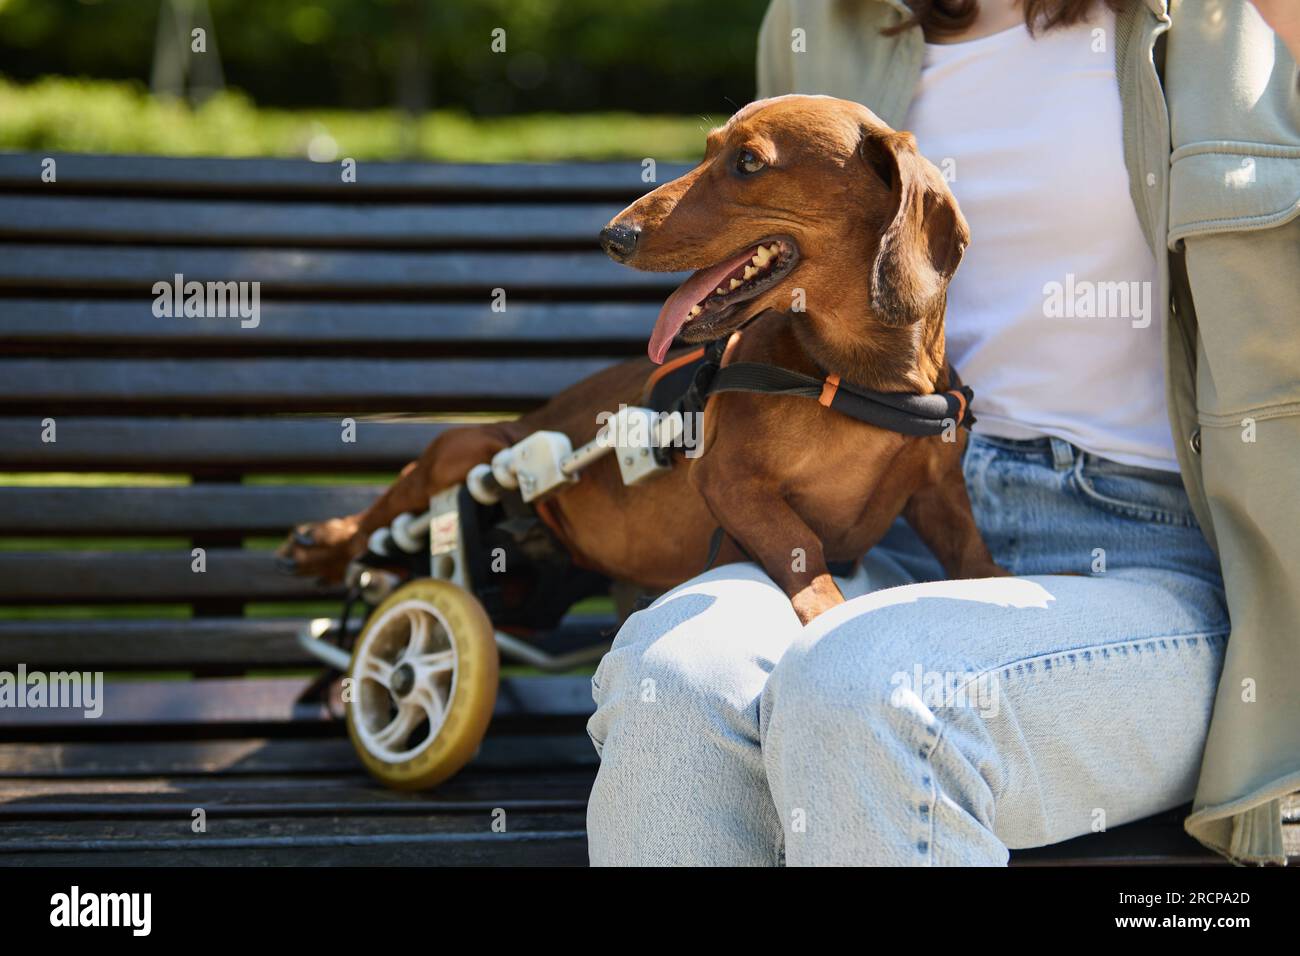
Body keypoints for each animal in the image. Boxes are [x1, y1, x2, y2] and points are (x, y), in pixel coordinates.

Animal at [276, 93, 1003, 624]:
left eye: (748, 162)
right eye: (709, 151)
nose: (611, 236)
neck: (853, 378)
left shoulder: (940, 497)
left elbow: (979, 561)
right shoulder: (730, 482)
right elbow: (805, 555)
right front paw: (828, 615)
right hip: (466, 449)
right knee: (381, 516)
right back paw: (323, 543)